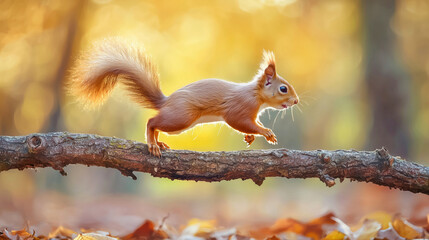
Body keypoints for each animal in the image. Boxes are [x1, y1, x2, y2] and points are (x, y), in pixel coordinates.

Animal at [68, 38, 300, 157]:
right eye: (283, 89)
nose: (296, 101)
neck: (255, 95)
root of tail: (167, 101)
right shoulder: (240, 107)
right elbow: (239, 121)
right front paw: (266, 132)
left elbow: (247, 126)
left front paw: (250, 137)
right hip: (181, 118)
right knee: (152, 122)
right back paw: (153, 144)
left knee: (157, 125)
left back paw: (159, 143)